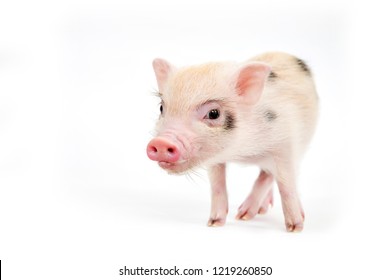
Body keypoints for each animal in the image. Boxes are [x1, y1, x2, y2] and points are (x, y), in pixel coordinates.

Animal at [146, 52, 316, 232]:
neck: (243, 152)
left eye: (213, 113)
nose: (161, 142)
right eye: (161, 108)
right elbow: (217, 186)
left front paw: (295, 227)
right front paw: (214, 223)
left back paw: (246, 214)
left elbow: (285, 183)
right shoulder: (215, 160)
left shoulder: (286, 143)